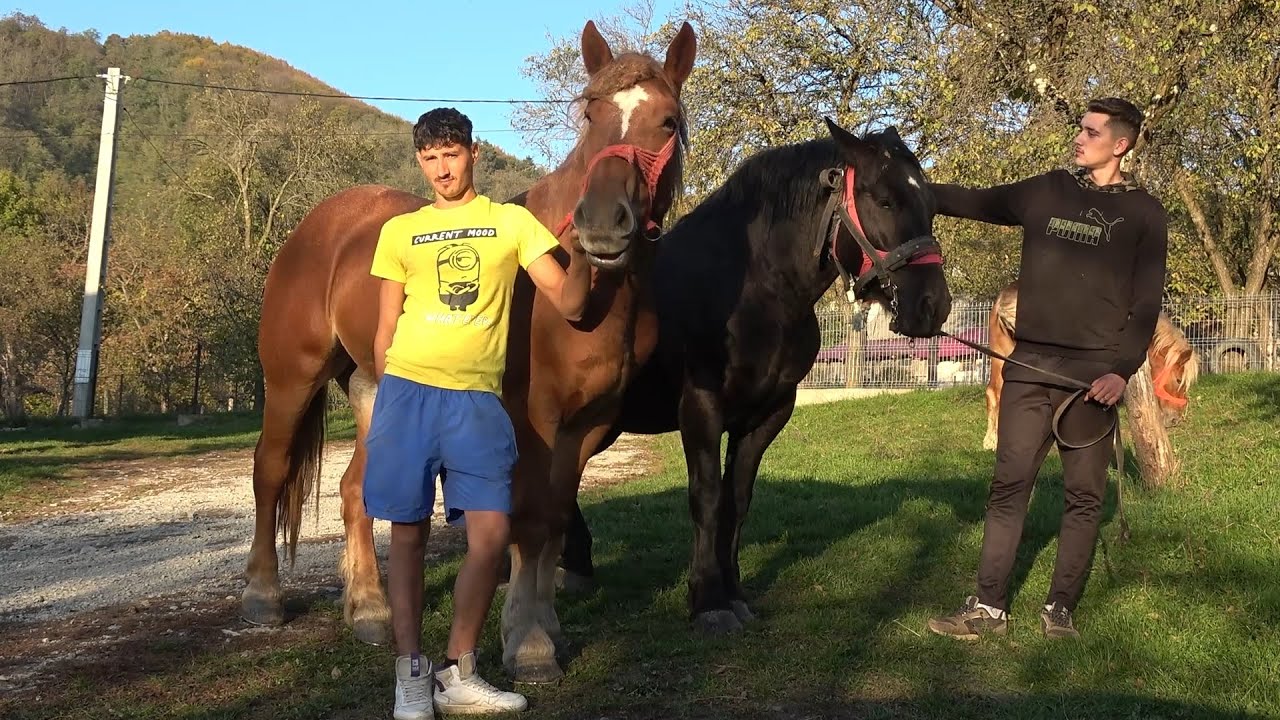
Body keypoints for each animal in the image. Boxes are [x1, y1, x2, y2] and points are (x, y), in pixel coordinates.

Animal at [240, 20, 697, 671]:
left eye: (667, 121)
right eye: (590, 113)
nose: (602, 223)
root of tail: (318, 225)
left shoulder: (588, 425)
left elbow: (556, 519)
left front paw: (545, 627)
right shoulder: (532, 420)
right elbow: (529, 520)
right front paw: (528, 642)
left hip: (374, 391)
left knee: (354, 492)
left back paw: (370, 609)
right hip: (290, 379)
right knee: (271, 470)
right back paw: (263, 595)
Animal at [557, 119, 954, 633]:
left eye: (930, 203)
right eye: (884, 200)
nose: (932, 305)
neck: (755, 290)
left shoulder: (768, 413)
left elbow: (737, 500)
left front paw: (735, 593)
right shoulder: (701, 409)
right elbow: (707, 497)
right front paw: (707, 600)